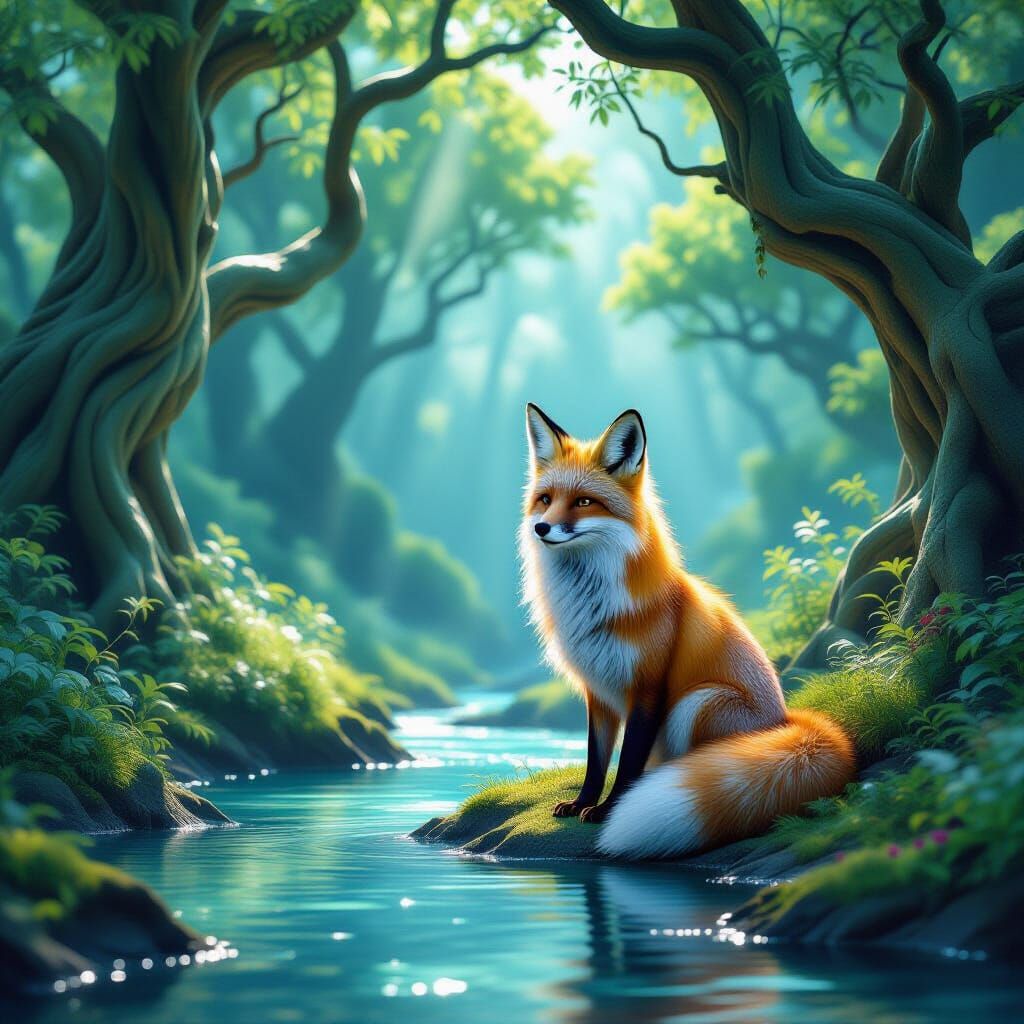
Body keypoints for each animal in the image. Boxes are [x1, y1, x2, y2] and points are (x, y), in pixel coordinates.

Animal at [520, 403, 856, 859]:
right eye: (546, 500)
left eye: (584, 502)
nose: (542, 528)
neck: (593, 606)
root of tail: (786, 721)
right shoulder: (598, 689)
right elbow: (595, 759)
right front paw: (582, 803)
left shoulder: (648, 686)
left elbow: (628, 760)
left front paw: (609, 810)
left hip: (698, 702)